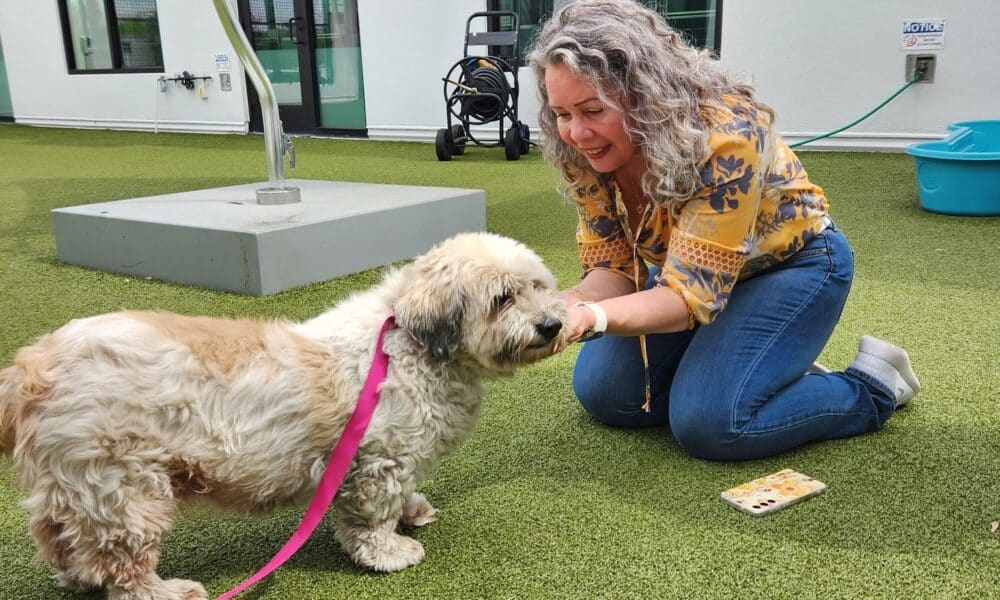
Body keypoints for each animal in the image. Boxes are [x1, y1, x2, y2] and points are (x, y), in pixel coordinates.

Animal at [0, 233, 564, 600]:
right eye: (503, 298)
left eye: (539, 286)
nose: (553, 324)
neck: (408, 341)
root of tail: (31, 368)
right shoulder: (379, 460)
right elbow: (373, 518)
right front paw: (389, 551)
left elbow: (402, 496)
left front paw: (413, 510)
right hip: (124, 488)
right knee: (123, 566)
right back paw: (166, 591)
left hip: (77, 486)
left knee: (64, 540)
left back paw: (76, 578)